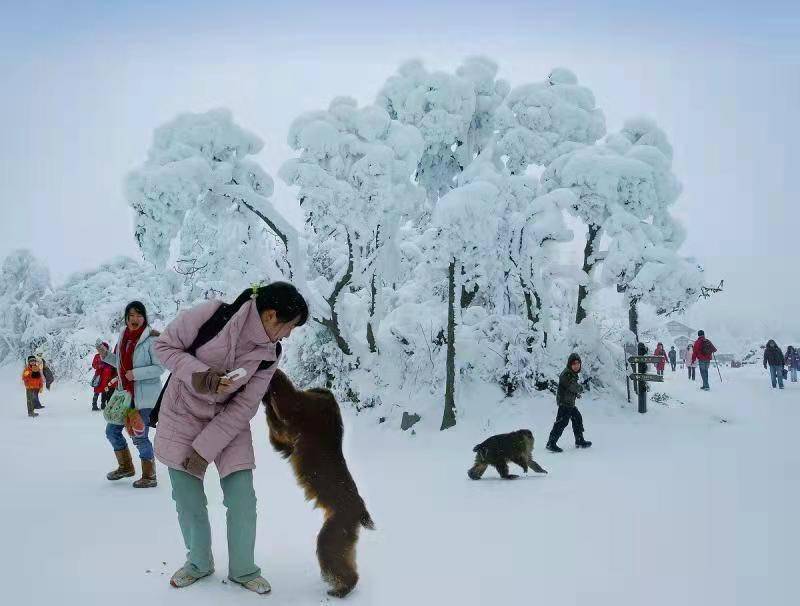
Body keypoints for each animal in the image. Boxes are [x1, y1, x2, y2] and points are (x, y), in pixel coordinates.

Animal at [262, 370, 376, 600]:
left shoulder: (304, 413)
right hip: (343, 533)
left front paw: (272, 378)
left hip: (335, 529)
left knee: (329, 552)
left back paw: (339, 589)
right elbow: (279, 437)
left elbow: (287, 403)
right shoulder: (291, 435)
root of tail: (360, 510)